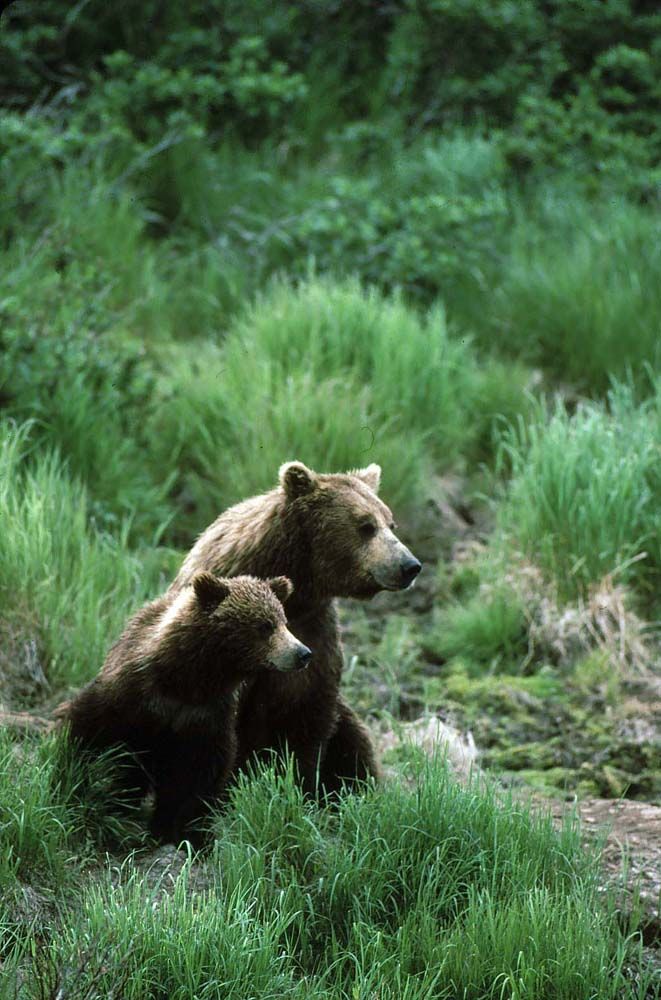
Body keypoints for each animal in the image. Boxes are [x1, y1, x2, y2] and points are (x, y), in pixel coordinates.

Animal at [56, 572, 310, 844]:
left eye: (284, 621)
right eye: (265, 625)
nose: (303, 653)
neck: (188, 682)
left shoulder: (205, 717)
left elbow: (200, 776)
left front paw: (180, 829)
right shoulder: (130, 695)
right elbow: (87, 729)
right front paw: (72, 781)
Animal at [169, 461, 421, 796]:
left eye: (391, 524)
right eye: (366, 525)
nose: (410, 566)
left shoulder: (313, 631)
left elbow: (305, 718)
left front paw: (300, 786)